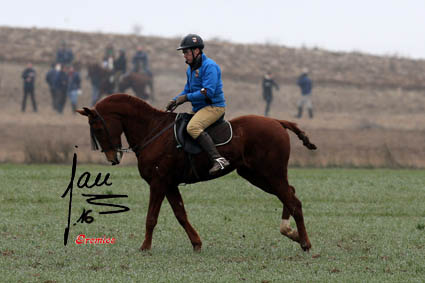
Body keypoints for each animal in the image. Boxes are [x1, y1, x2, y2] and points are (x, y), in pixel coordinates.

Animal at [76, 94, 316, 252]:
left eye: (97, 128)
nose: (112, 158)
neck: (152, 130)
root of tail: (277, 122)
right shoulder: (169, 184)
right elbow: (180, 214)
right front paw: (196, 243)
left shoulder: (158, 182)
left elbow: (151, 217)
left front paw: (145, 247)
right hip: (257, 175)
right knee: (290, 193)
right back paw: (291, 232)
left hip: (270, 174)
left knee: (293, 201)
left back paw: (304, 242)